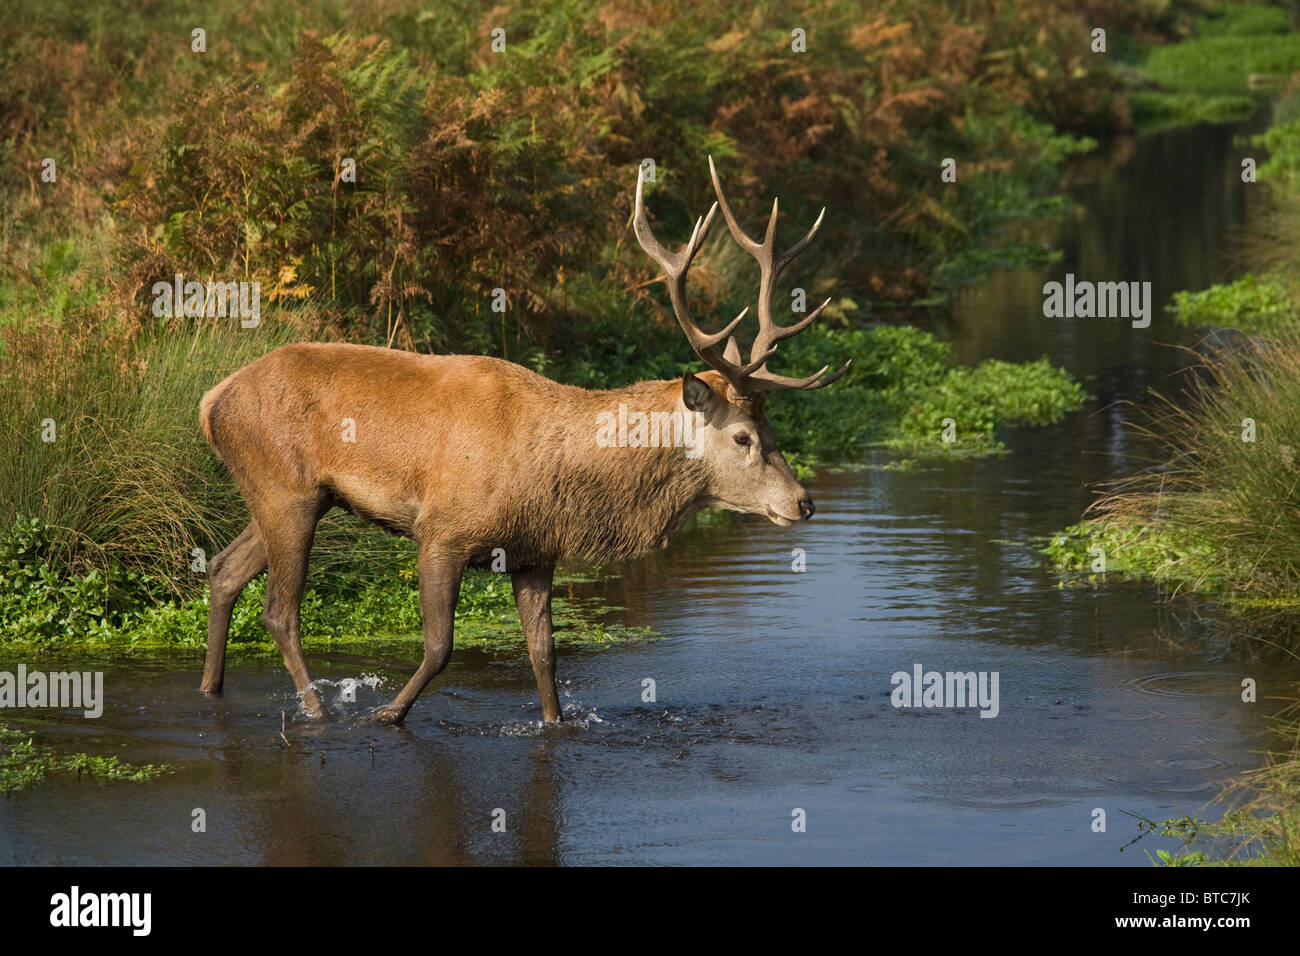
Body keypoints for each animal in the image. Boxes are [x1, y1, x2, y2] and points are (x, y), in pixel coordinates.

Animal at [197, 157, 847, 723]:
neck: (554, 478)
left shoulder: (535, 550)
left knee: (224, 571)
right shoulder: (443, 530)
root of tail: (212, 400)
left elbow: (544, 656)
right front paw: (387, 715)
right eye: (742, 437)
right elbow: (440, 647)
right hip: (287, 488)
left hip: (291, 494)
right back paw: (316, 711)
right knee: (280, 611)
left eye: (772, 429)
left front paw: (555, 723)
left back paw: (211, 687)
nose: (804, 502)